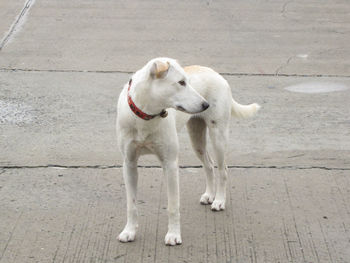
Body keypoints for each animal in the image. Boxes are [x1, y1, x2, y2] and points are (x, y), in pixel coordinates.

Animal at [117, 56, 260, 246]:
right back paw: (209, 195)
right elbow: (131, 204)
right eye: (181, 82)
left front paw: (173, 235)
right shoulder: (130, 164)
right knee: (209, 165)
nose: (206, 104)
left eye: (187, 82)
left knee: (223, 170)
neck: (146, 116)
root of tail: (216, 74)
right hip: (196, 138)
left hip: (218, 137)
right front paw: (129, 231)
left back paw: (219, 200)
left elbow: (172, 206)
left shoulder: (170, 164)